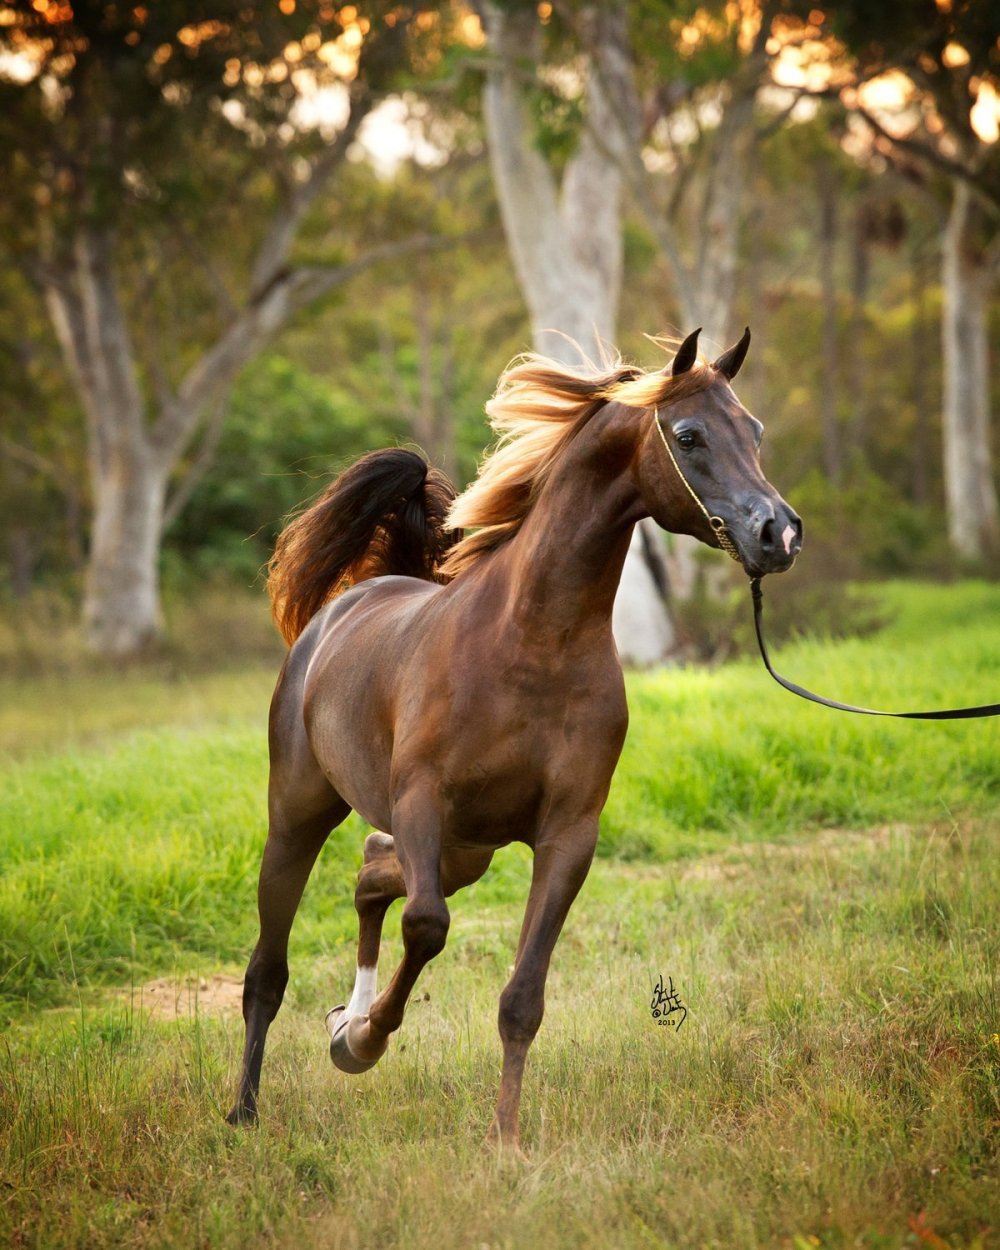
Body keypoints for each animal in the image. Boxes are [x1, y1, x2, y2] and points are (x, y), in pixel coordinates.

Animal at [228, 325, 805, 1150]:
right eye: (690, 435)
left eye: (753, 430)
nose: (777, 533)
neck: (532, 646)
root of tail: (344, 609)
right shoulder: (421, 804)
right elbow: (428, 927)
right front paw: (364, 1043)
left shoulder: (567, 835)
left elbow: (522, 996)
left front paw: (505, 1139)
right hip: (302, 817)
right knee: (268, 970)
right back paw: (249, 1107)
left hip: (465, 851)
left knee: (370, 874)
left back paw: (344, 1019)